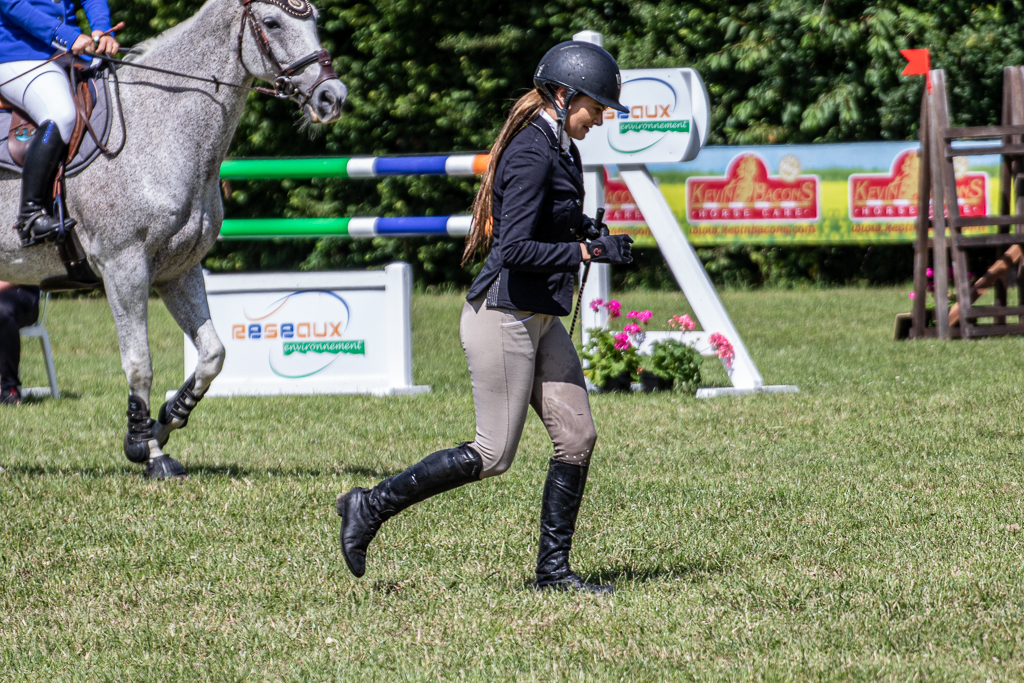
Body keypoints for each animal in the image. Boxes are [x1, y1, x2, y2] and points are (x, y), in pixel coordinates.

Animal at [0, 0, 347, 478]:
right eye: (272, 22)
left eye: (314, 20)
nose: (333, 96)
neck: (159, 125)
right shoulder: (123, 267)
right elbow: (139, 364)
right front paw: (145, 449)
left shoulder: (178, 270)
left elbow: (213, 354)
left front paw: (165, 421)